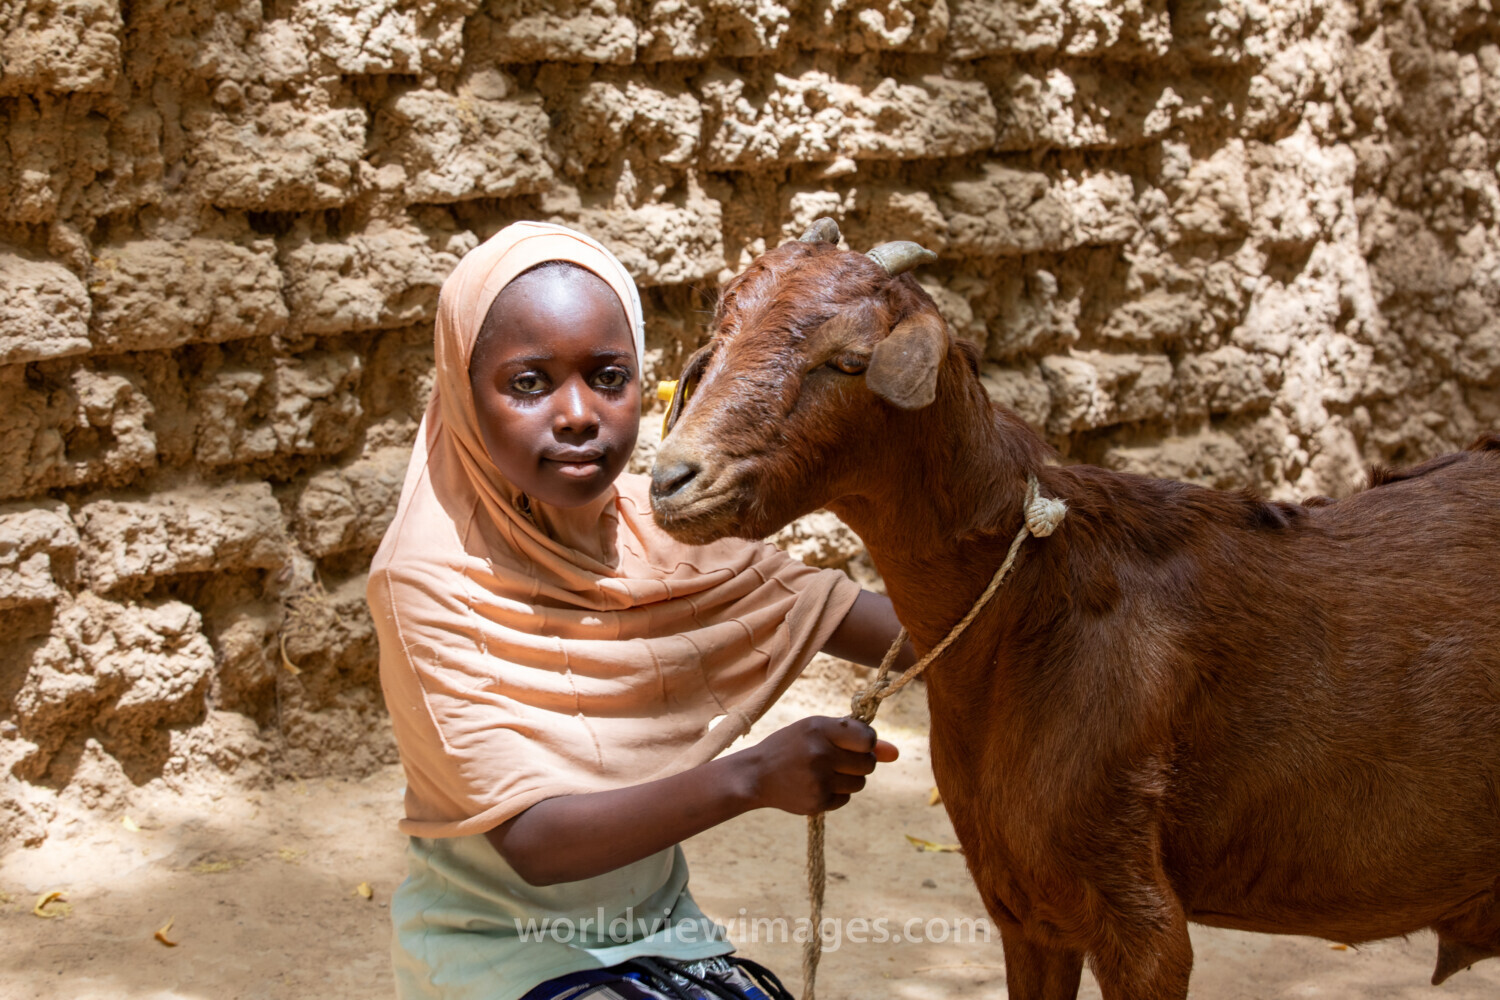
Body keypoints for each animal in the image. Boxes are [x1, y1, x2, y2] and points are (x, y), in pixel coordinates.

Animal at [649, 220, 1500, 999]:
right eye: (717, 342)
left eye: (848, 361)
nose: (671, 480)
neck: (1031, 606)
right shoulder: (1023, 904)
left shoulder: (1141, 920)